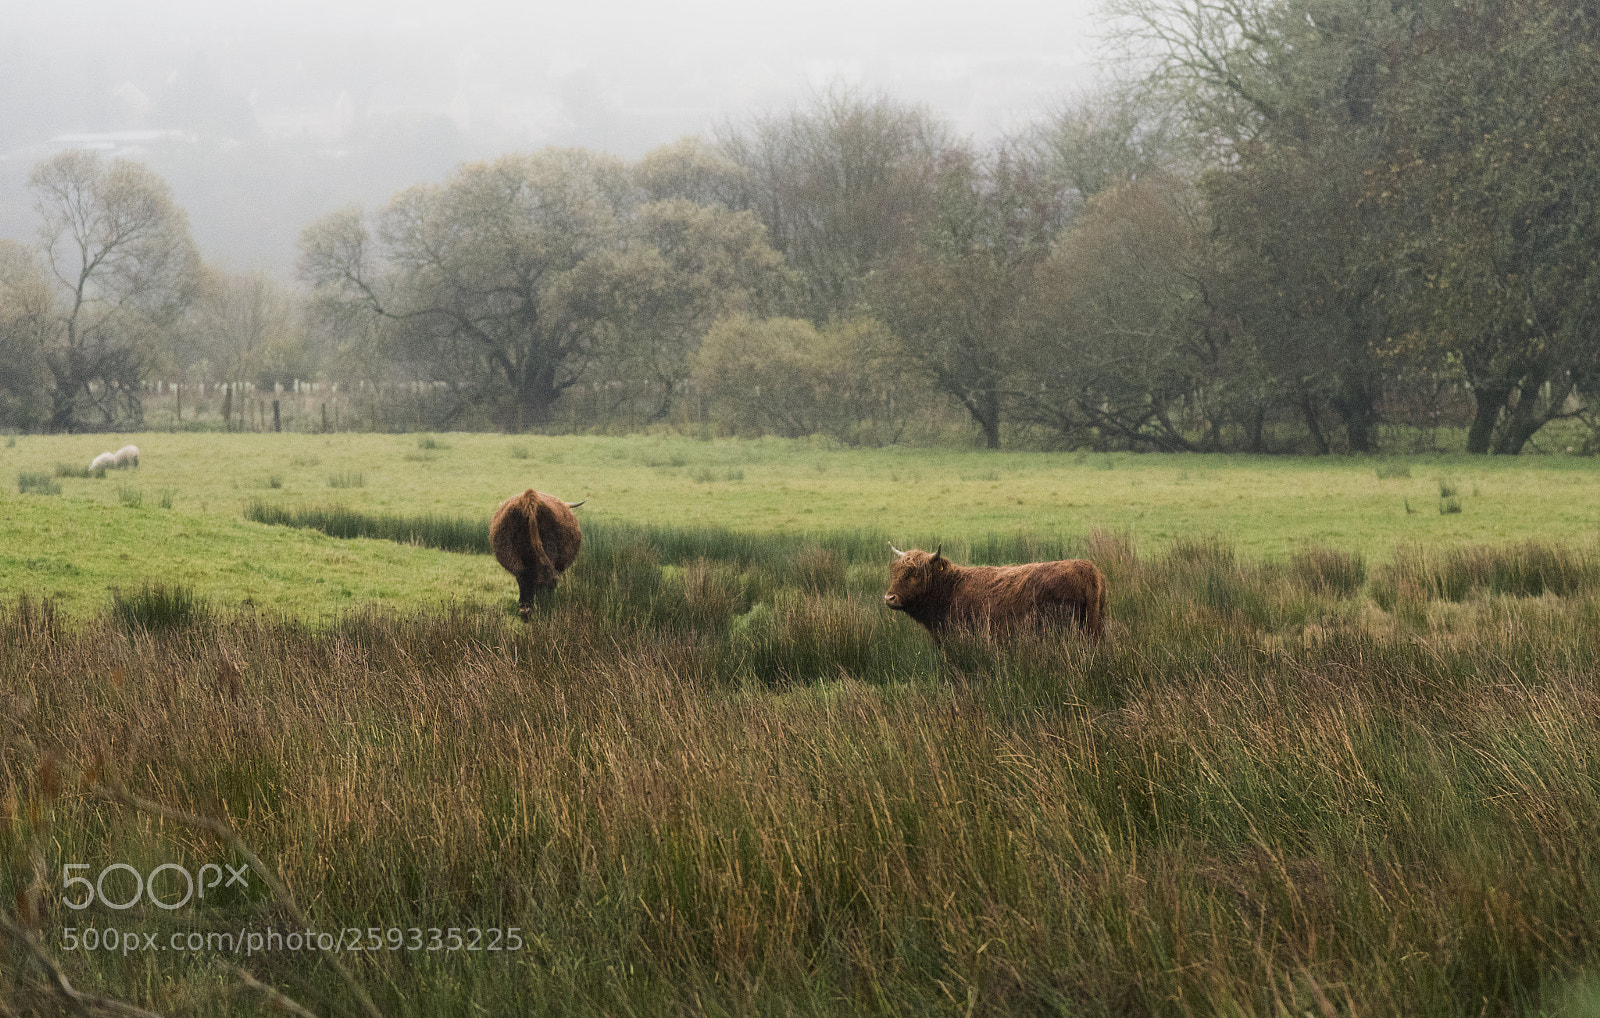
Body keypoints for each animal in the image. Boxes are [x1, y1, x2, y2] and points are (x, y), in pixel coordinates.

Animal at [489, 489, 585, 620]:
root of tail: (530, 499)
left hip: (512, 554)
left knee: (522, 576)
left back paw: (525, 609)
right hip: (549, 548)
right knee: (545, 578)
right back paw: (544, 606)